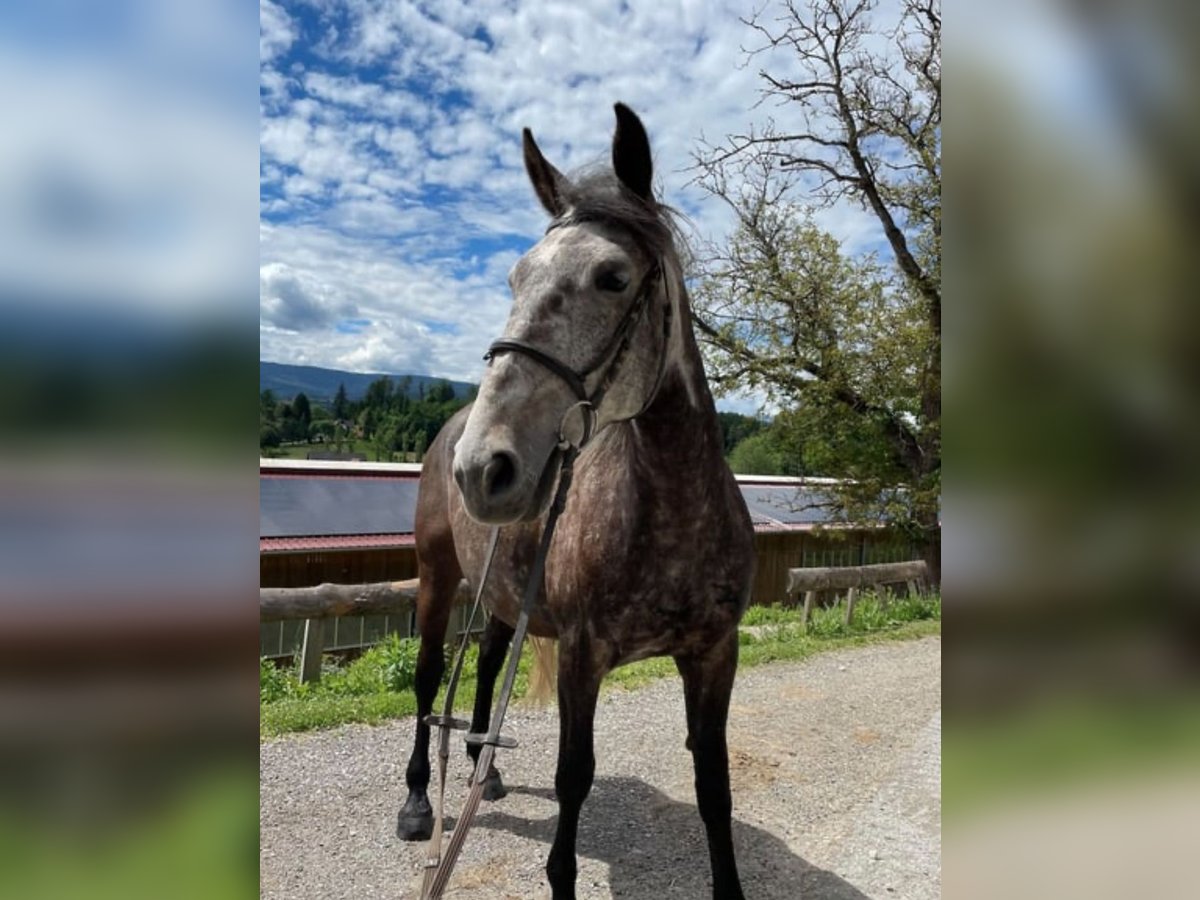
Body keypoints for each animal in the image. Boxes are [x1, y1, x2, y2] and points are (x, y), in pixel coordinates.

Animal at [398, 102, 753, 897]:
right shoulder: (582, 659)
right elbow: (573, 780)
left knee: (487, 664)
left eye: (612, 277)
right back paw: (417, 801)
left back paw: (484, 767)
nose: (483, 469)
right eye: (515, 276)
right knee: (430, 679)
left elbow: (714, 785)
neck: (672, 516)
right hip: (438, 576)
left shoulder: (715, 655)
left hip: (502, 593)